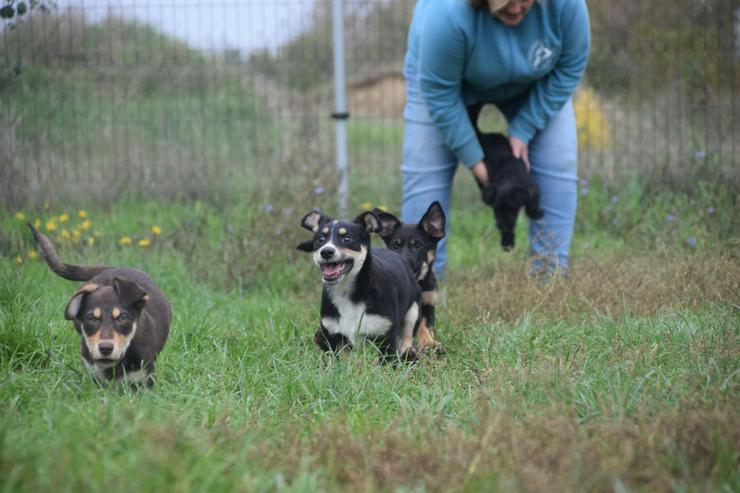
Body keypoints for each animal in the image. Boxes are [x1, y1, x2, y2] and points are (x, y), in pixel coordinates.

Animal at [28, 225, 171, 386]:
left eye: (122, 318)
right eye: (91, 318)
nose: (105, 348)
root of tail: (112, 269)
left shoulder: (145, 377)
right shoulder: (93, 372)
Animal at [296, 209, 422, 360]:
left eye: (347, 239)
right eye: (320, 239)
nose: (326, 251)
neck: (348, 292)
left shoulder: (386, 335)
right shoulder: (335, 337)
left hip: (413, 310)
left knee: (407, 334)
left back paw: (409, 353)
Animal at [370, 202, 446, 352]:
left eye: (417, 245)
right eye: (395, 246)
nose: (403, 261)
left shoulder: (428, 303)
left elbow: (425, 324)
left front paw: (429, 342)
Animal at [468, 103, 544, 250]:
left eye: (511, 208)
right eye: (496, 209)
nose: (502, 225)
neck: (508, 177)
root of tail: (483, 136)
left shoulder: (532, 187)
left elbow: (533, 201)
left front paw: (536, 214)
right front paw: (507, 242)